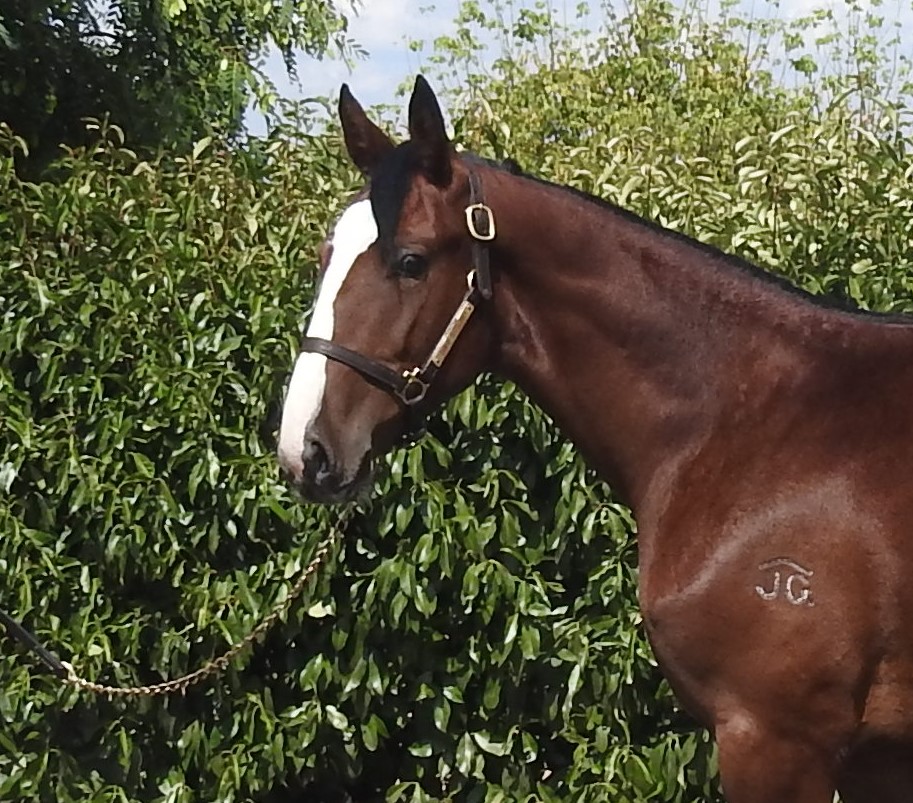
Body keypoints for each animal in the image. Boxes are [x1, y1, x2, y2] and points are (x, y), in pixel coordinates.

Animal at [276, 75, 913, 802]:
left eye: (410, 261)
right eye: (324, 257)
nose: (305, 448)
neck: (756, 427)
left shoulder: (775, 742)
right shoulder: (871, 760)